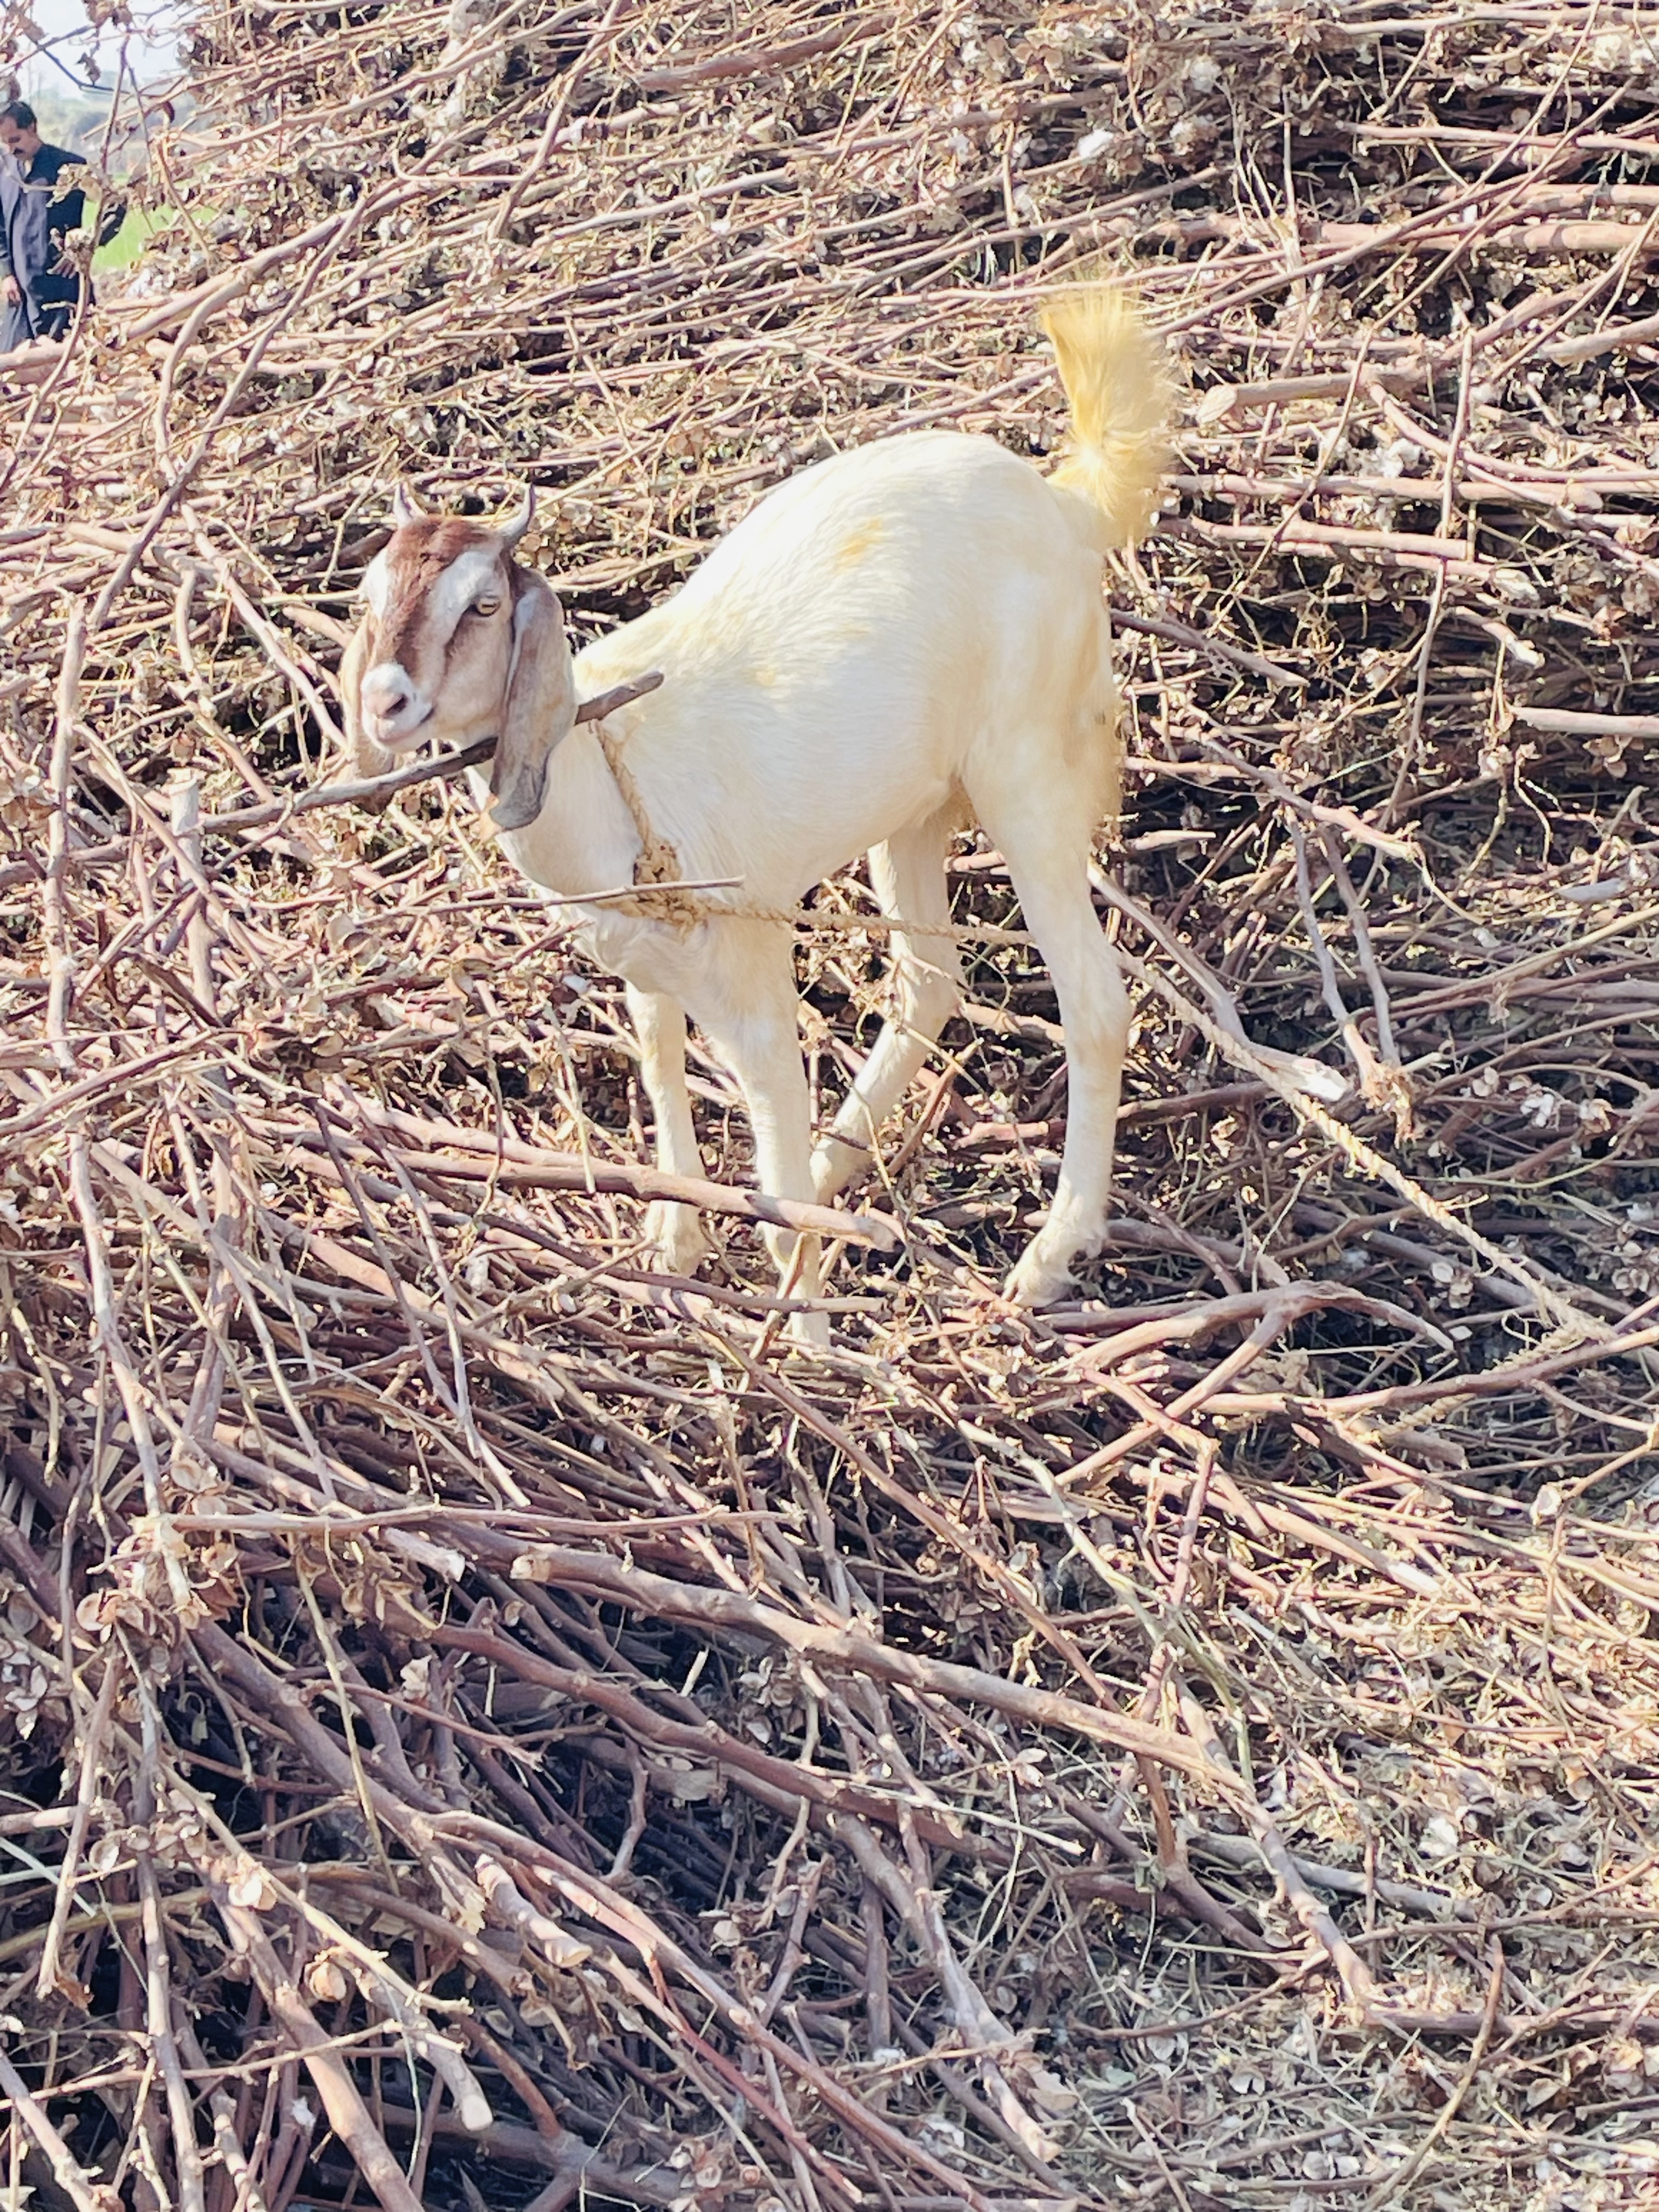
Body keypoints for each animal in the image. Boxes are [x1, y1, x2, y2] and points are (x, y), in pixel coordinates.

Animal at [341, 292, 1171, 1339]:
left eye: (483, 605)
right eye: (370, 595)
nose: (386, 702)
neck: (613, 777)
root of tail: (1064, 501)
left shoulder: (753, 986)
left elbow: (772, 1158)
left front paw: (806, 1343)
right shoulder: (643, 967)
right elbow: (659, 1063)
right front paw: (678, 1238)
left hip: (1022, 773)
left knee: (1092, 1002)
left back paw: (1048, 1256)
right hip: (914, 806)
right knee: (927, 984)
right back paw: (835, 1169)